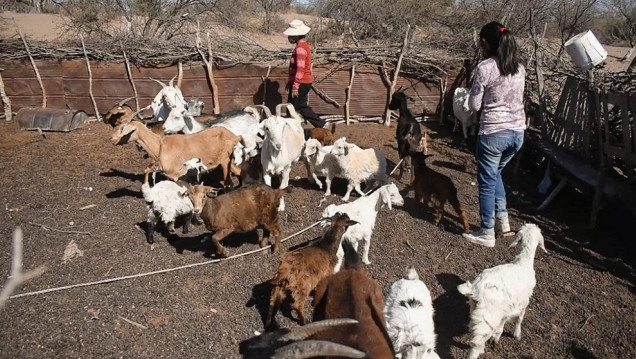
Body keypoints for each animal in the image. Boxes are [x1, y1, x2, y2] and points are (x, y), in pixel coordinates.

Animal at [458, 224, 548, 358]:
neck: (522, 262)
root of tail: (475, 288)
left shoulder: (507, 308)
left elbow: (503, 321)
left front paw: (497, 336)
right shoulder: (524, 301)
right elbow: (520, 318)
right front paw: (517, 334)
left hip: (475, 308)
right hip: (487, 318)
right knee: (476, 343)